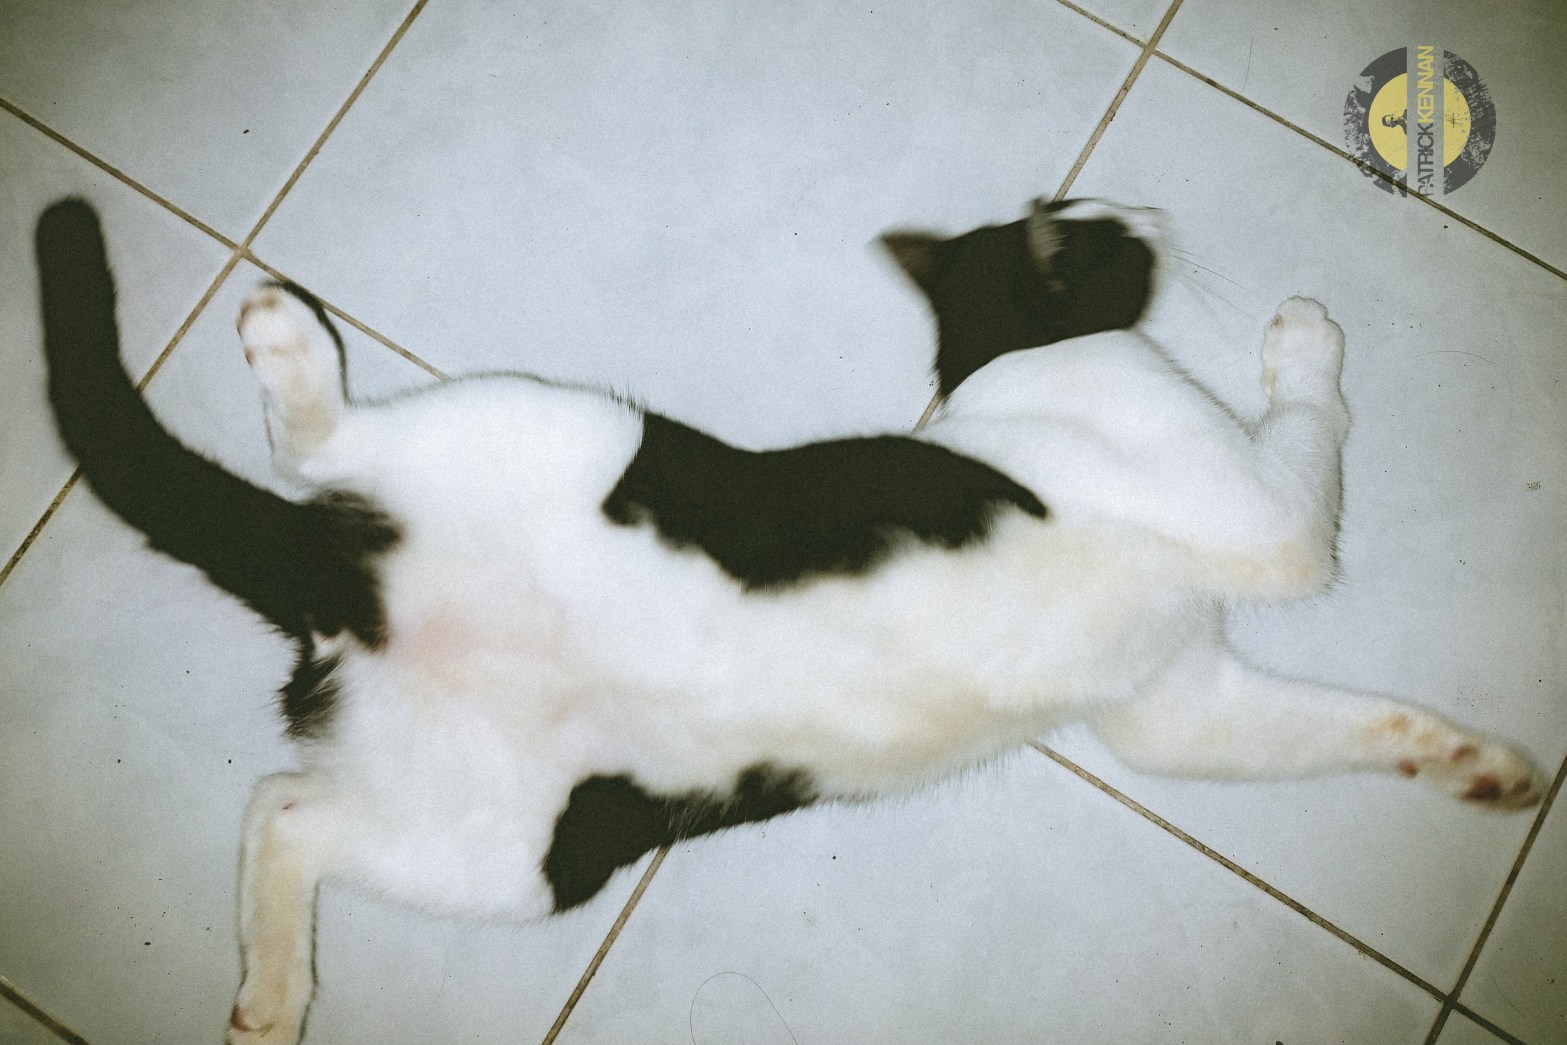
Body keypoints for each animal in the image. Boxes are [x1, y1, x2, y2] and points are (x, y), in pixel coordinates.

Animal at [33, 197, 1542, 1045]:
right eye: (1088, 233)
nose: (1146, 213)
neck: (1006, 357)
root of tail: (336, 582)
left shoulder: (1178, 711)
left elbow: (1344, 726)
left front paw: (1478, 768)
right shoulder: (1261, 520)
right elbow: (1309, 433)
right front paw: (1303, 338)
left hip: (522, 846)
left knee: (284, 811)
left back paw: (271, 999)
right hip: (566, 428)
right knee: (315, 449)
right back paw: (288, 341)